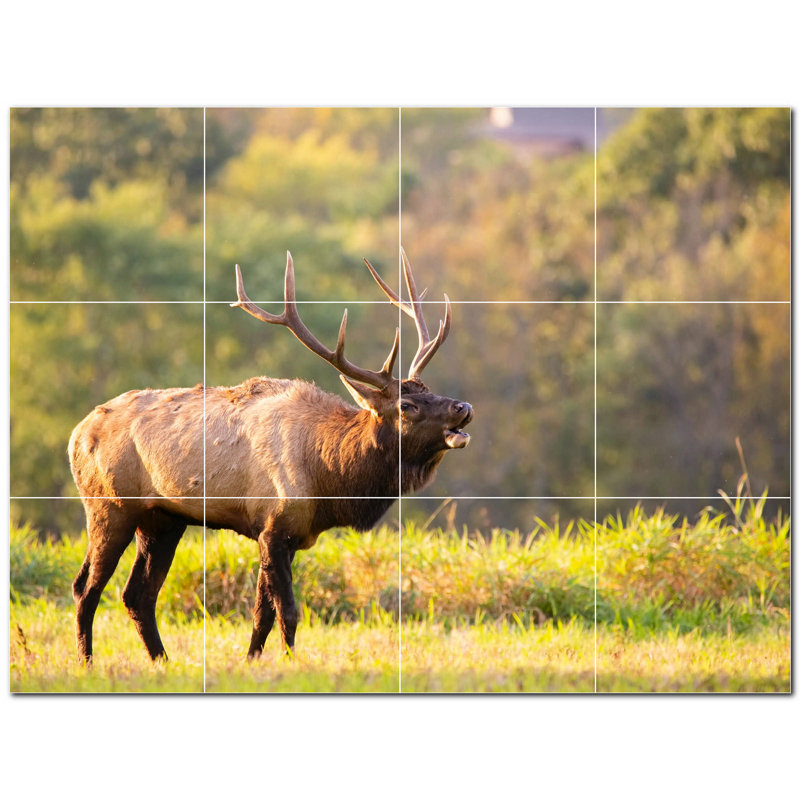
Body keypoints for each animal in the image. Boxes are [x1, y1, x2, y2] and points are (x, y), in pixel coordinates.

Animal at [68, 249, 473, 663]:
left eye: (429, 389)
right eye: (407, 405)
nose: (463, 407)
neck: (329, 479)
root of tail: (76, 435)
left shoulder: (285, 534)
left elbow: (262, 612)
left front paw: (252, 660)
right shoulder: (274, 526)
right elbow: (288, 611)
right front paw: (290, 662)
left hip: (162, 519)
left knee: (138, 594)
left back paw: (162, 661)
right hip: (109, 506)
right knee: (86, 588)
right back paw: (87, 661)